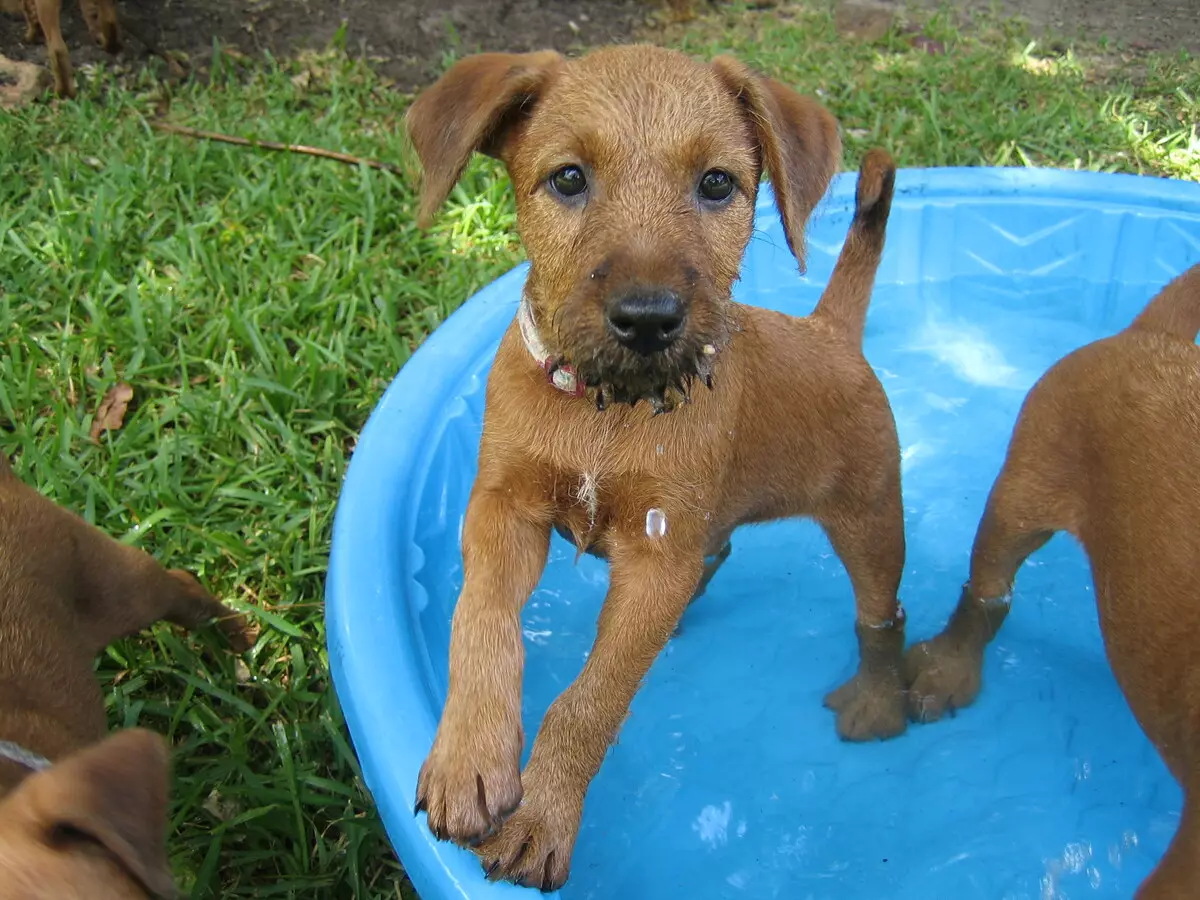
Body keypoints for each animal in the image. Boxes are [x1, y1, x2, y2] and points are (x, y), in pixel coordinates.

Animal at [408, 45, 902, 892]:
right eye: (569, 178)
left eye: (718, 184)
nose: (647, 319)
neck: (603, 410)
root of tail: (831, 330)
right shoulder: (504, 508)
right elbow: (482, 618)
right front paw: (468, 756)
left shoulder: (656, 550)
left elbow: (592, 699)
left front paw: (542, 814)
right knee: (720, 552)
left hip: (872, 525)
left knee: (882, 619)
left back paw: (879, 696)